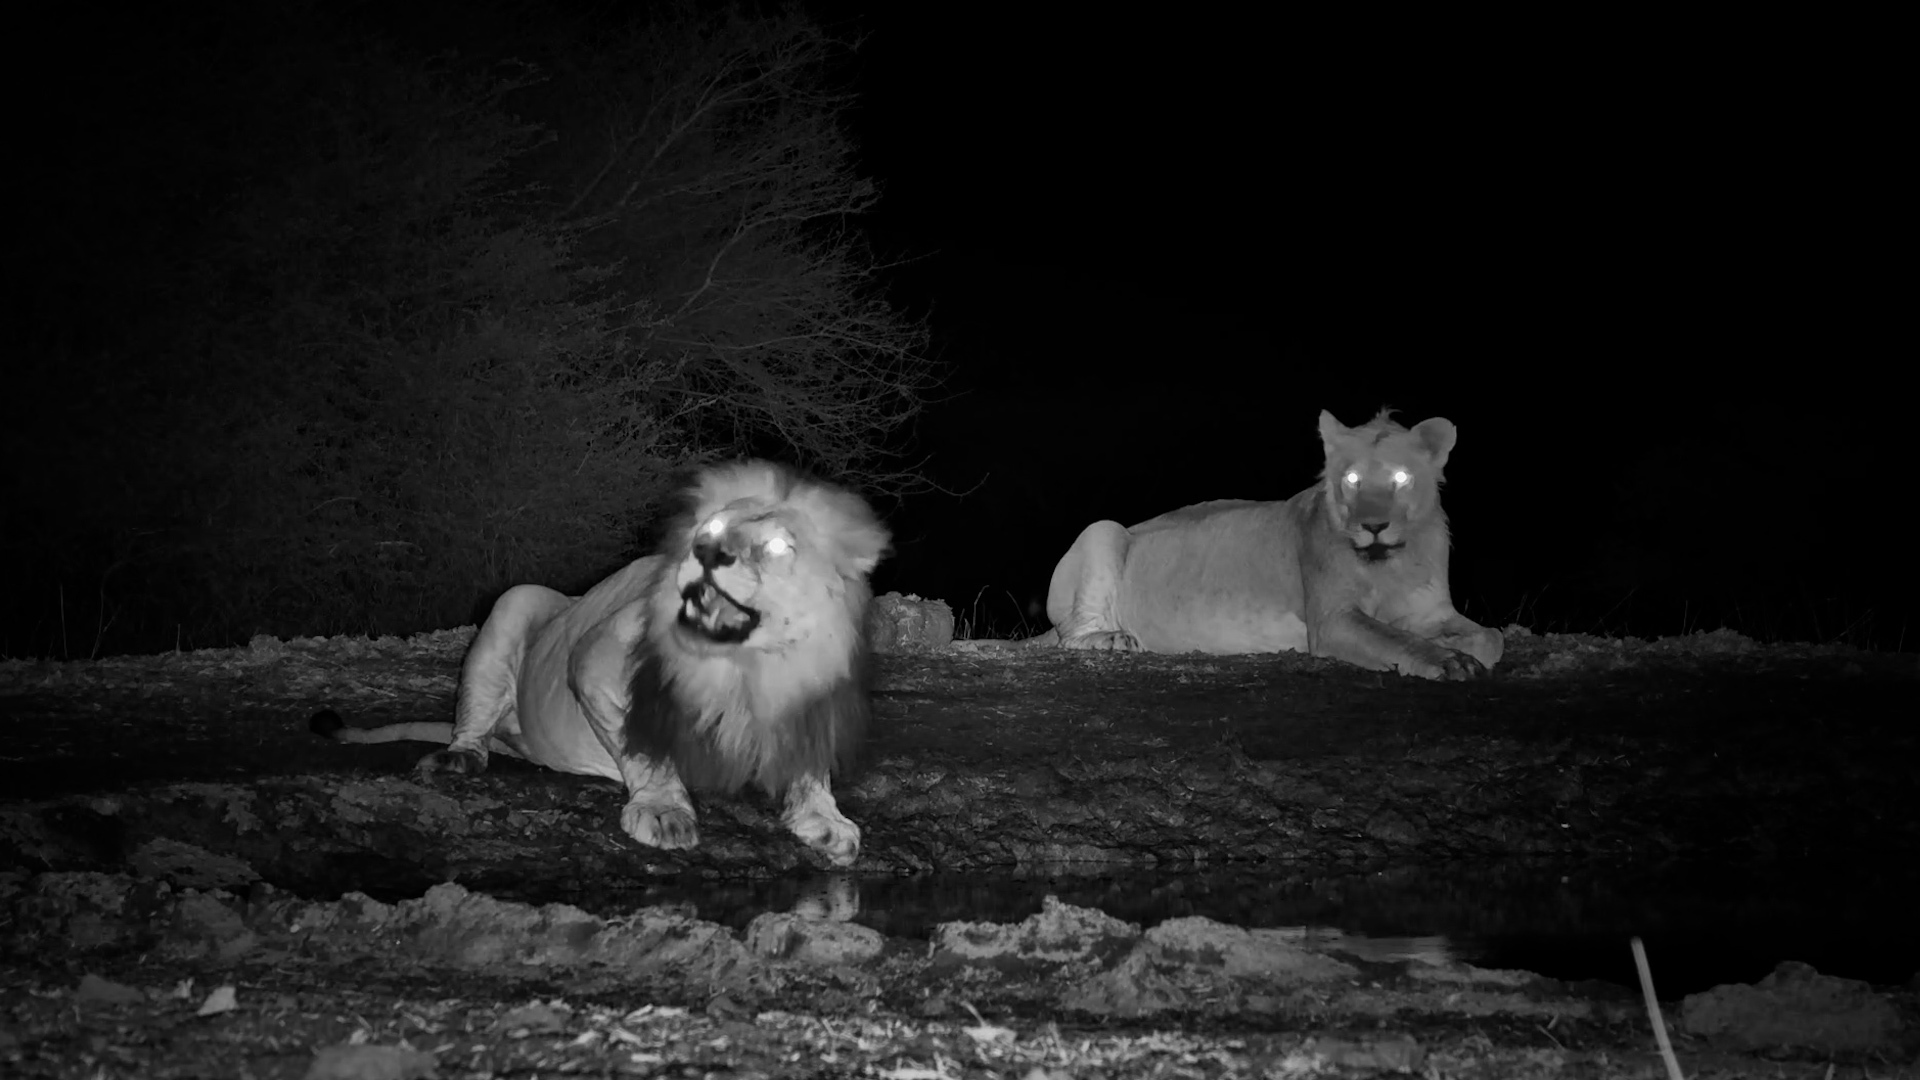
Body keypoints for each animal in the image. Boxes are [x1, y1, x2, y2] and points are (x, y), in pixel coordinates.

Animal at [311, 460, 890, 866]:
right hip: (514, 603)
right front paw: (663, 811)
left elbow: (810, 763)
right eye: (708, 530)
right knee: (472, 721)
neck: (751, 665)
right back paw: (460, 757)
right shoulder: (597, 659)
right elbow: (645, 747)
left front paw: (824, 821)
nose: (706, 552)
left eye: (775, 547)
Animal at [1029, 409, 1502, 679]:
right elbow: (1396, 640)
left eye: (1401, 477)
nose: (1373, 526)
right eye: (1351, 478)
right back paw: (1112, 638)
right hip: (1104, 529)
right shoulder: (1333, 620)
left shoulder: (1431, 610)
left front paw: (1461, 647)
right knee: (1071, 635)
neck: (1392, 561)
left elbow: (1491, 636)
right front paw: (1448, 660)